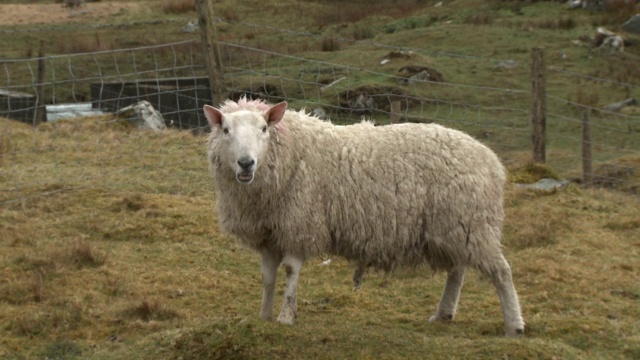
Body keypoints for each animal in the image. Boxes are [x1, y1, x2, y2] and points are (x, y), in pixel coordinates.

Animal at [201, 97, 524, 334]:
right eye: (226, 130)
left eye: (264, 129)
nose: (246, 163)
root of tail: (491, 160)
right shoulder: (269, 232)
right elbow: (268, 277)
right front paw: (264, 316)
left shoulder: (301, 223)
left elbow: (291, 271)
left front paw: (285, 316)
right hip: (452, 226)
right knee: (457, 270)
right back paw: (443, 313)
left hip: (472, 222)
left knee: (501, 272)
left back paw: (514, 324)